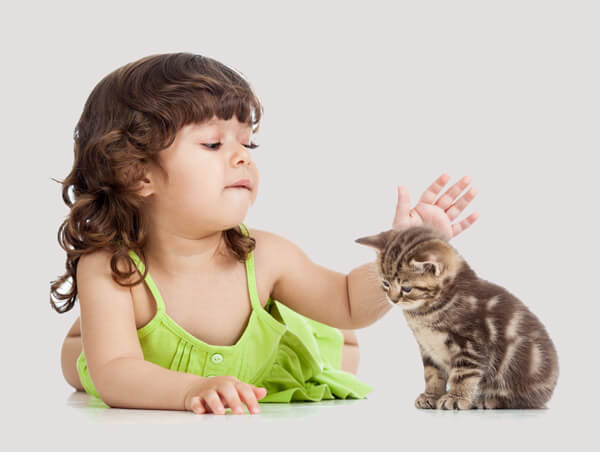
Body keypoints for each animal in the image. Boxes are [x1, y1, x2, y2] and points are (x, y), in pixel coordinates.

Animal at [356, 226, 556, 410]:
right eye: (385, 283)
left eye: (407, 288)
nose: (393, 299)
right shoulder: (427, 348)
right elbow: (432, 373)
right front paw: (431, 395)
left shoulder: (471, 342)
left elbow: (463, 373)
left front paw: (455, 397)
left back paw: (488, 400)